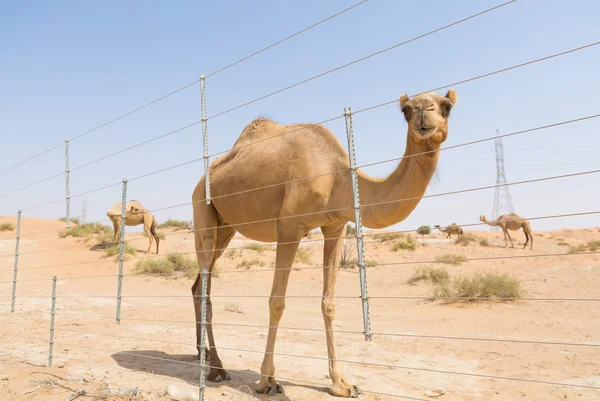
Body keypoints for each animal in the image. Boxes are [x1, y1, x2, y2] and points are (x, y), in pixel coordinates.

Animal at [190, 89, 458, 396]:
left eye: (447, 106)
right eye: (406, 110)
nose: (424, 114)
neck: (337, 177)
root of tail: (203, 178)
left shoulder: (335, 226)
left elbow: (328, 304)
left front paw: (341, 383)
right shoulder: (290, 227)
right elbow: (277, 302)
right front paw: (267, 380)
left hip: (227, 226)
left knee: (199, 286)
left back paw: (204, 355)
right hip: (202, 210)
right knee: (205, 284)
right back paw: (216, 368)